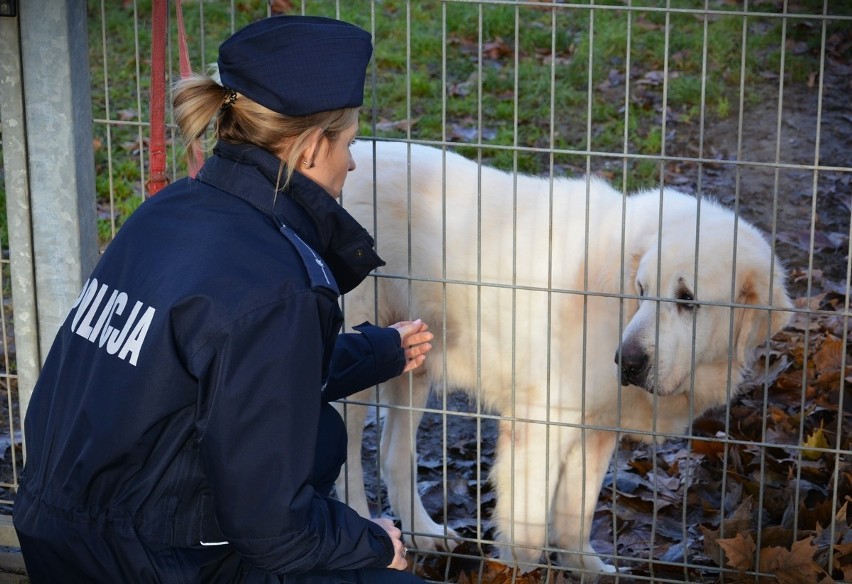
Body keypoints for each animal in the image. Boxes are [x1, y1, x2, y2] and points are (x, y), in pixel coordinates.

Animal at [334, 141, 792, 576]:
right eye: (643, 290)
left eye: (687, 300)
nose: (627, 362)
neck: (616, 301)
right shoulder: (540, 426)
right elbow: (529, 532)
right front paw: (518, 572)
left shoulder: (596, 429)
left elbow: (578, 514)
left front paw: (587, 570)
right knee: (347, 467)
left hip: (413, 363)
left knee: (393, 453)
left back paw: (425, 534)